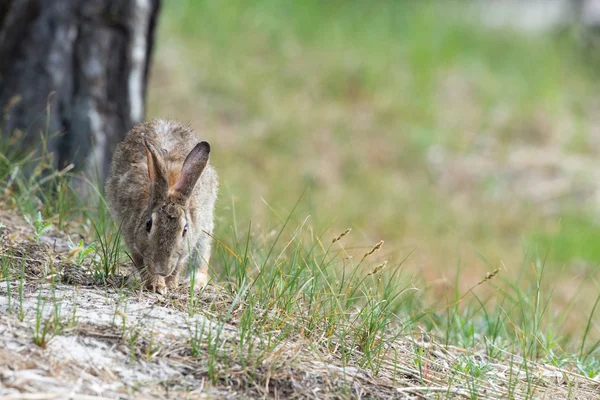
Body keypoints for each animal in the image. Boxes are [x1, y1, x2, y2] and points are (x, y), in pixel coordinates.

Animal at [105, 117, 218, 292]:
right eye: (148, 224)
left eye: (185, 230)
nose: (161, 268)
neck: (170, 188)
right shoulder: (132, 237)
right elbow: (141, 263)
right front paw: (156, 285)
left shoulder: (185, 247)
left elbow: (177, 266)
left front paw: (170, 285)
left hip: (205, 230)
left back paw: (194, 283)